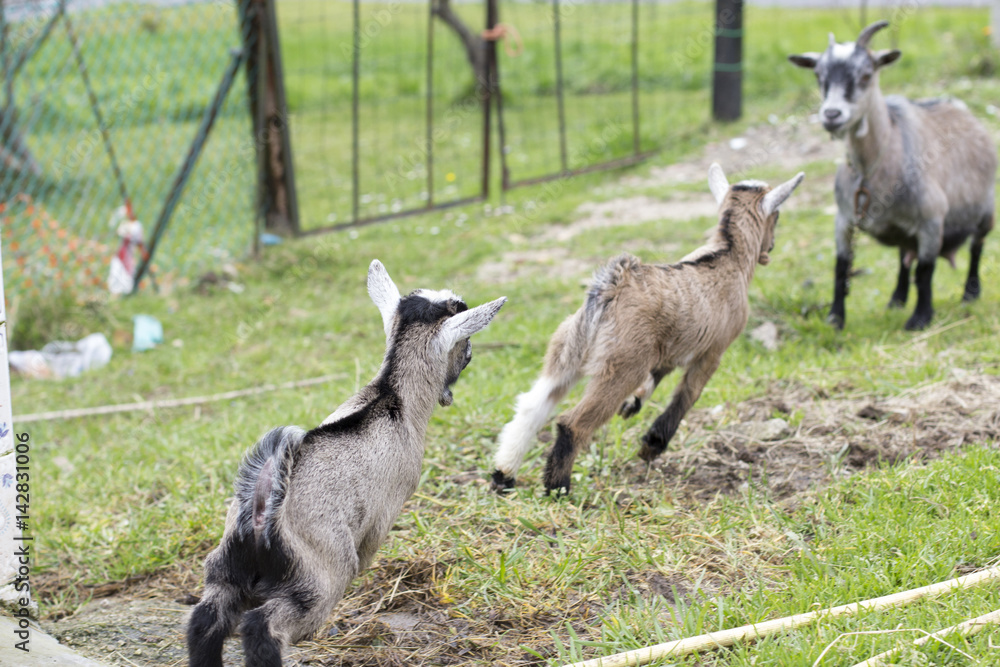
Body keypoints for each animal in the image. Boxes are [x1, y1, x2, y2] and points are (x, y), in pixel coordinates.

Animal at [187, 260, 505, 667]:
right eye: (466, 352)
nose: (449, 392)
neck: (392, 396)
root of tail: (259, 509)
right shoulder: (383, 513)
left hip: (224, 568)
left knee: (205, 620)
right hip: (318, 578)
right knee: (262, 626)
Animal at [490, 164, 804, 495]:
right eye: (777, 216)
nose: (770, 248)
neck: (728, 254)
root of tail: (612, 286)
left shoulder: (666, 348)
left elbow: (658, 375)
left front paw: (634, 405)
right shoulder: (713, 350)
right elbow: (688, 394)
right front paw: (652, 445)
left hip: (568, 350)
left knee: (532, 405)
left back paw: (503, 475)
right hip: (622, 364)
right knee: (572, 422)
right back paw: (557, 487)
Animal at [789, 20, 997, 331]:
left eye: (866, 75)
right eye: (818, 75)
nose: (832, 115)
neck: (871, 168)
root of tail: (959, 106)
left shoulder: (932, 219)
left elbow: (925, 271)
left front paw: (920, 318)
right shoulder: (844, 219)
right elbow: (841, 268)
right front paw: (836, 318)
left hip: (985, 211)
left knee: (975, 248)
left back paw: (970, 293)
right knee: (903, 257)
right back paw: (896, 299)